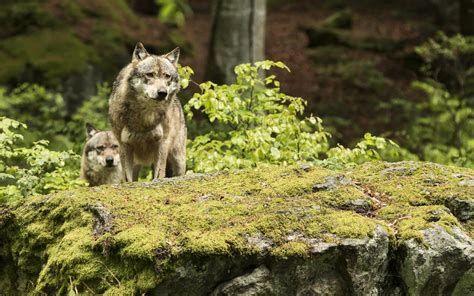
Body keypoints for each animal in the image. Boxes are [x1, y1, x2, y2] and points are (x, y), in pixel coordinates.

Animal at [109, 41, 187, 180]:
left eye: (167, 76)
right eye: (150, 74)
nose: (162, 93)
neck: (145, 115)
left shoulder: (162, 143)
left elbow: (159, 174)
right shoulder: (124, 145)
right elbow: (127, 179)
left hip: (178, 159)